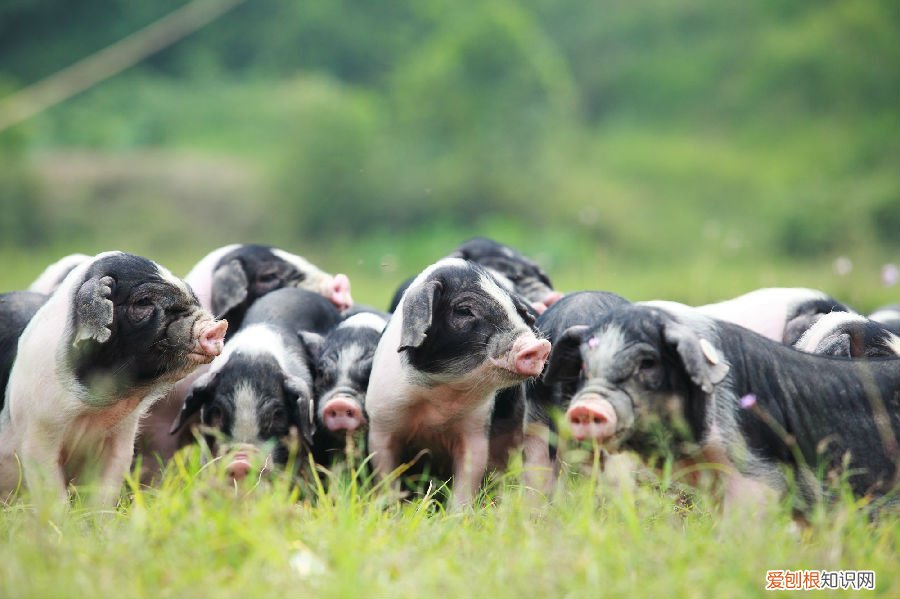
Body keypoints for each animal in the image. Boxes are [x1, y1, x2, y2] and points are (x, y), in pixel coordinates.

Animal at [0, 252, 225, 506]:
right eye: (143, 302)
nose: (217, 327)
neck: (93, 412)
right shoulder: (38, 430)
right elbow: (50, 491)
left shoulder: (122, 436)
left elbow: (106, 486)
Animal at [364, 260, 548, 508]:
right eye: (464, 310)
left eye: (518, 310)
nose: (540, 346)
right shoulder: (381, 424)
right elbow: (386, 475)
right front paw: (391, 510)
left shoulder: (477, 428)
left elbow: (468, 477)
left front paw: (458, 514)